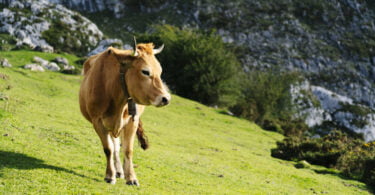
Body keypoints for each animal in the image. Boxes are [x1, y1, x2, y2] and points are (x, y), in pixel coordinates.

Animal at [81, 40, 172, 186]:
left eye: (160, 71)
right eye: (145, 71)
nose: (166, 98)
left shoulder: (132, 120)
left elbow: (128, 150)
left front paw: (131, 177)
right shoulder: (97, 121)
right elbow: (108, 149)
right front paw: (110, 175)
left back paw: (121, 170)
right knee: (114, 147)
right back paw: (117, 170)